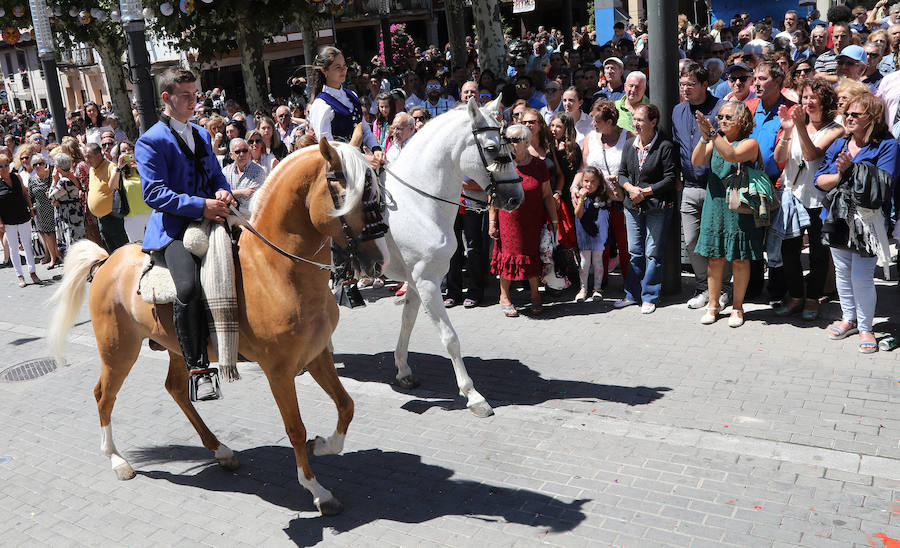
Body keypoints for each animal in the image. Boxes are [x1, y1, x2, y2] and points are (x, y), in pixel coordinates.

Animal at [47, 140, 384, 512]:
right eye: (347, 189)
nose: (376, 262)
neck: (275, 269)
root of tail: (107, 260)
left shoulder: (317, 355)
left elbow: (346, 406)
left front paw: (323, 445)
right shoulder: (279, 371)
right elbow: (295, 427)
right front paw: (316, 489)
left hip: (175, 347)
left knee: (176, 389)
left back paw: (220, 450)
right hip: (118, 349)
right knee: (104, 395)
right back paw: (118, 460)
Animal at [382, 98, 524, 418]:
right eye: (492, 148)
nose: (516, 198)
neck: (417, 204)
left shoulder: (417, 281)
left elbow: (407, 322)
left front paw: (403, 370)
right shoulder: (427, 282)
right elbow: (450, 338)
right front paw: (473, 395)